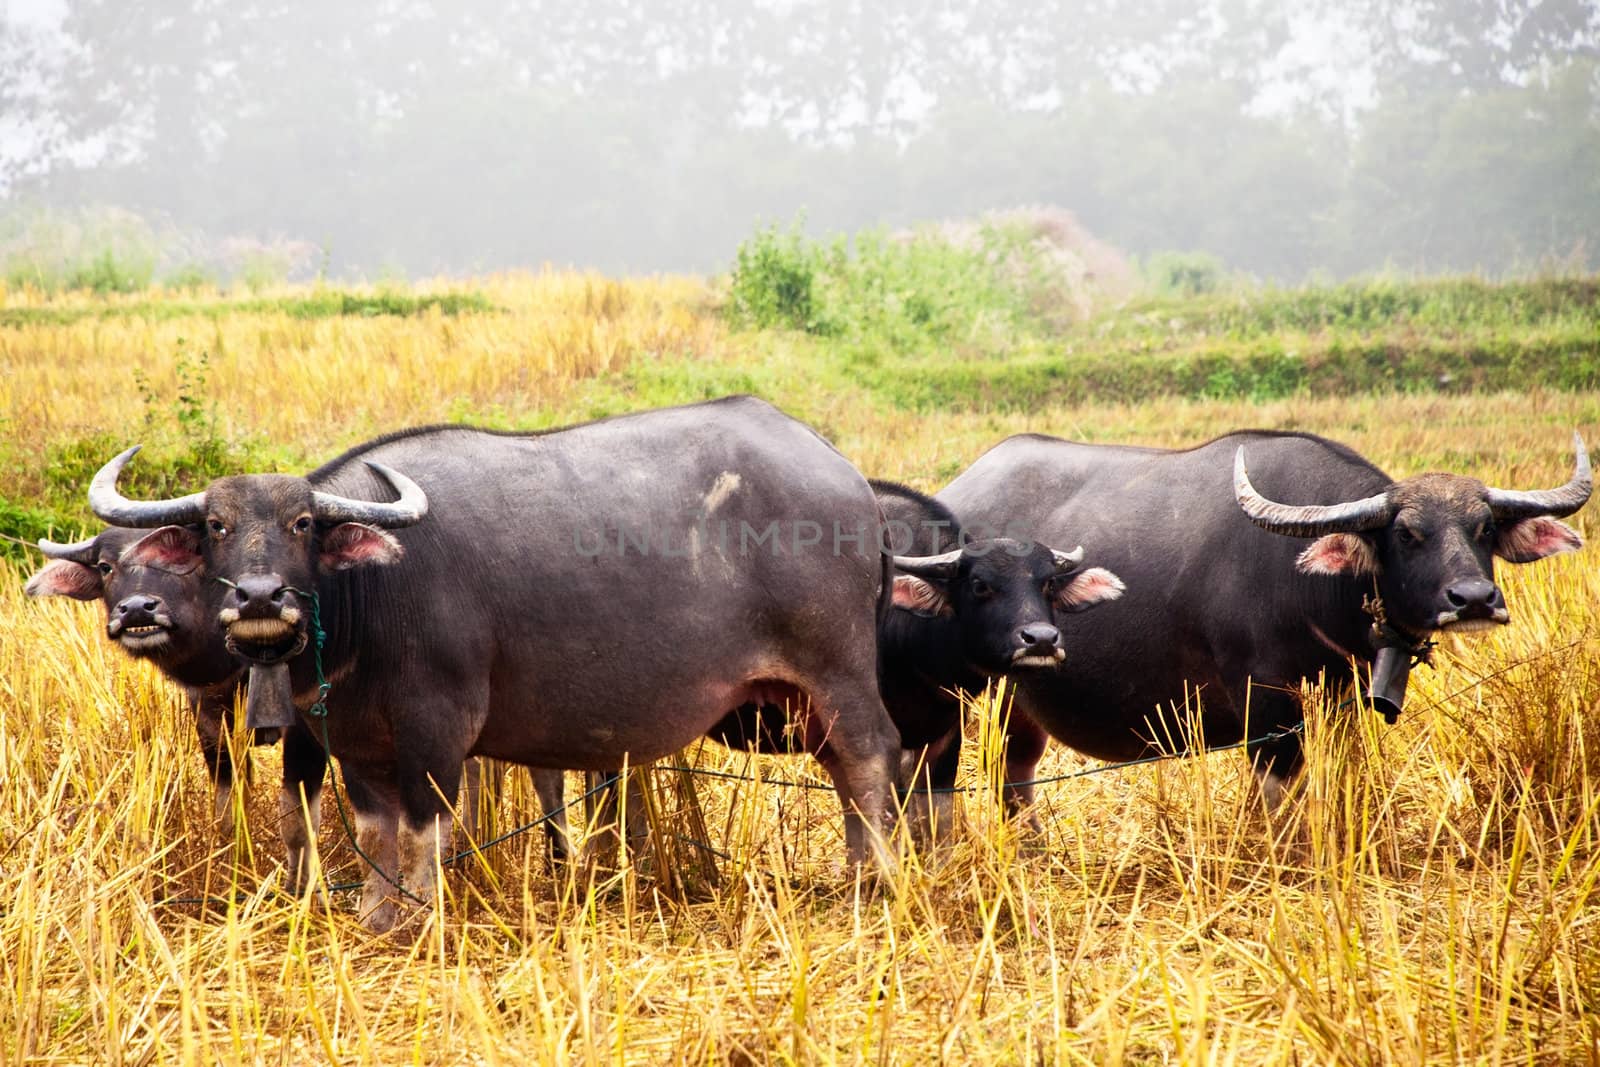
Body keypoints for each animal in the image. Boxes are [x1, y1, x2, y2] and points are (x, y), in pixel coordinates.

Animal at [23, 524, 328, 883]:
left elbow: (298, 816)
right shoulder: (210, 720)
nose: (137, 609)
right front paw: (232, 864)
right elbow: (228, 805)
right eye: (105, 566)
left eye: (186, 561)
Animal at [87, 396, 908, 927]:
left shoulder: (438, 729)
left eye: (302, 524)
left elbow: (425, 830)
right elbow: (374, 833)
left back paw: (878, 884)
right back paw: (858, 877)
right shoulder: (357, 742)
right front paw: (380, 917)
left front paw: (422, 916)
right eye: (217, 527)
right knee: (843, 769)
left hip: (838, 672)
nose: (261, 597)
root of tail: (846, 480)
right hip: (803, 697)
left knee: (872, 757)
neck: (374, 593)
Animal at [934, 428, 1587, 806]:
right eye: (1407, 533)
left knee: (1015, 769)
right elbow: (1278, 794)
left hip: (1019, 701)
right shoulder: (1265, 702)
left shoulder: (1341, 700)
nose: (1473, 598)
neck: (1314, 584)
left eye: (1484, 528)